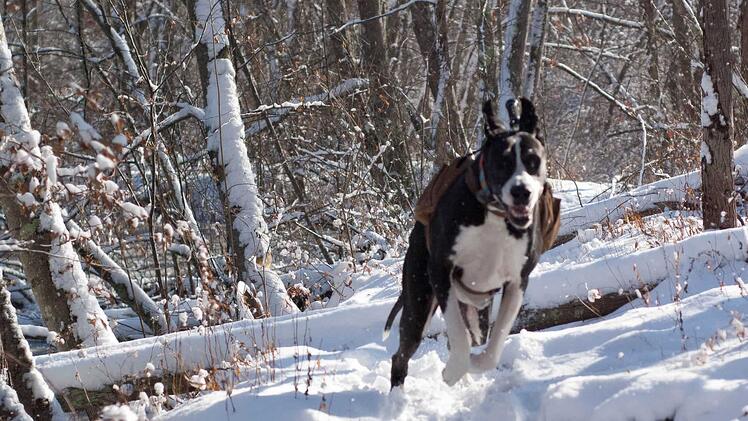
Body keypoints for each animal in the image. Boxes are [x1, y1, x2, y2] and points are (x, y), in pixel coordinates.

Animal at [382, 97, 548, 388]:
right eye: (502, 163)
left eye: (533, 161)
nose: (521, 191)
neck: (494, 215)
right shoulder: (441, 272)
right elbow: (459, 336)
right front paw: (453, 370)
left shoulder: (517, 281)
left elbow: (493, 346)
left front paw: (474, 364)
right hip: (418, 303)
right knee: (401, 354)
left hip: (476, 305)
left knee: (475, 334)